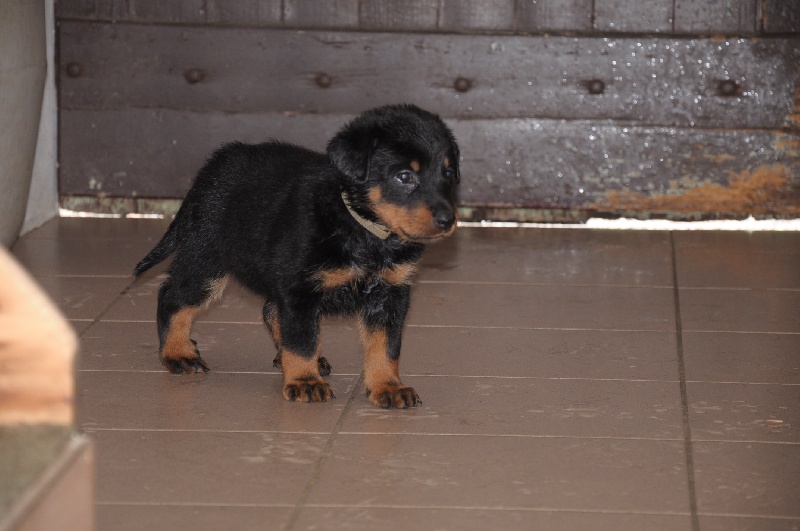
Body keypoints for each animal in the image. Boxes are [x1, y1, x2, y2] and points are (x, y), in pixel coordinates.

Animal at [133, 104, 460, 408]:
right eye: (404, 176)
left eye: (447, 173)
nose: (448, 219)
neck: (362, 228)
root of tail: (214, 164)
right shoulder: (299, 287)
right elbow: (302, 340)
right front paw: (305, 381)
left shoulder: (390, 293)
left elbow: (386, 345)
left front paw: (388, 386)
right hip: (207, 259)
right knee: (173, 296)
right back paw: (178, 354)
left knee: (270, 309)